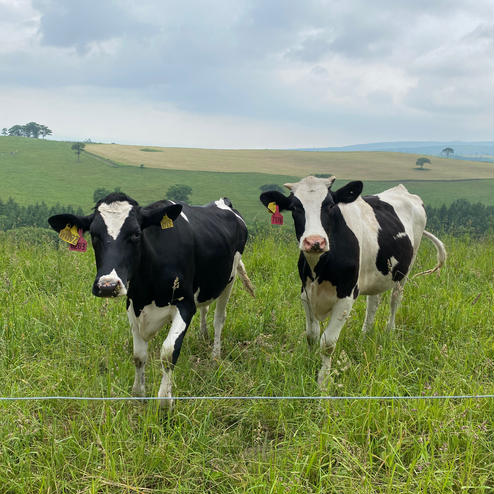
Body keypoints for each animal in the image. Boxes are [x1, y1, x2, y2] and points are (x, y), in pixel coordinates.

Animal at [48, 193, 253, 410]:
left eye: (136, 234)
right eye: (94, 235)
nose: (108, 286)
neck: (146, 288)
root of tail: (222, 202)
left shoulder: (185, 304)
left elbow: (169, 352)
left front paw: (165, 402)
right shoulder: (133, 304)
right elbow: (139, 355)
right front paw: (138, 395)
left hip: (230, 277)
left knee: (219, 319)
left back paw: (215, 355)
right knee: (205, 307)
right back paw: (203, 335)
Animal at [260, 176, 446, 388]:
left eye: (330, 205)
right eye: (295, 207)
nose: (315, 242)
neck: (320, 268)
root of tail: (401, 190)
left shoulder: (346, 296)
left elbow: (327, 343)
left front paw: (323, 381)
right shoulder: (306, 293)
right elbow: (311, 335)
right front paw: (308, 365)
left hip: (404, 270)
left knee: (395, 299)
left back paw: (389, 332)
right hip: (376, 273)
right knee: (373, 302)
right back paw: (365, 335)